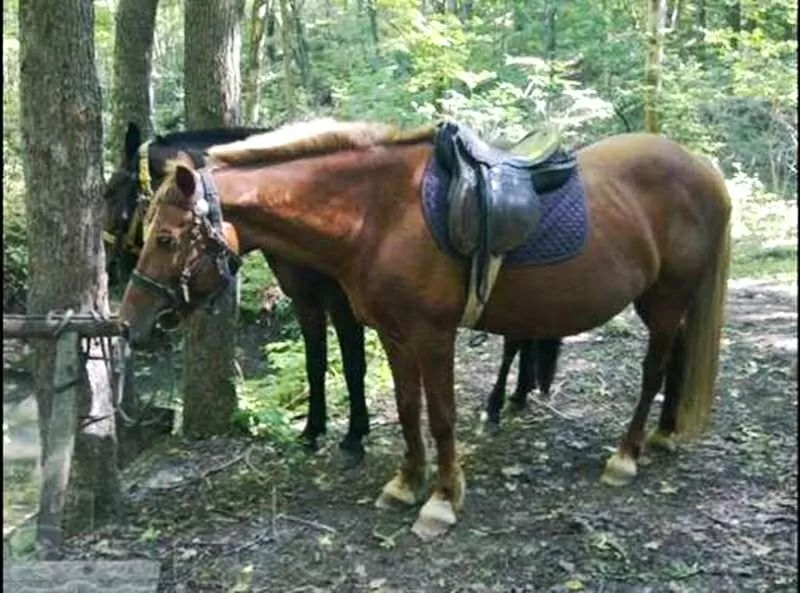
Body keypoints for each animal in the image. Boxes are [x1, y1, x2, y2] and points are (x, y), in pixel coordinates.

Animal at [117, 118, 732, 540]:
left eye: (165, 238)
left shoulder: (433, 335)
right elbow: (409, 410)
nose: (129, 325)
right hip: (667, 302)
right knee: (676, 359)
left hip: (665, 299)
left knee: (654, 369)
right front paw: (405, 483)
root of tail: (704, 170)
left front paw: (441, 499)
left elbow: (440, 416)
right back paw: (664, 434)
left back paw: (626, 455)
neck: (378, 213)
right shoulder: (394, 333)